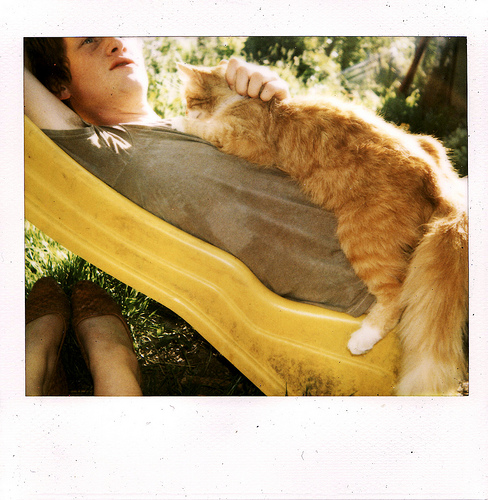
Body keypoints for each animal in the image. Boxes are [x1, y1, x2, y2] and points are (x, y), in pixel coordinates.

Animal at [173, 60, 468, 396]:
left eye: (189, 99)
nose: (183, 106)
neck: (244, 99)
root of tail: (437, 180)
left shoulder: (244, 139)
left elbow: (204, 128)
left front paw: (176, 120)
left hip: (362, 238)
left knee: (395, 296)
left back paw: (362, 339)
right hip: (430, 147)